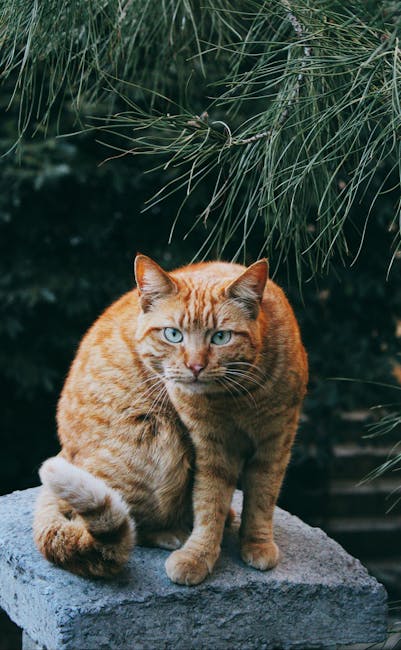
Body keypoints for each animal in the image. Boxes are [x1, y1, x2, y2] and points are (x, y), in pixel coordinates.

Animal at [34, 253, 308, 584]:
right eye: (173, 335)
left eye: (221, 337)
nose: (195, 366)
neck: (235, 397)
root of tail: (65, 451)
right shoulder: (211, 448)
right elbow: (209, 503)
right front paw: (198, 554)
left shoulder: (277, 440)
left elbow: (262, 499)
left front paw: (257, 543)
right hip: (160, 438)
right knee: (122, 522)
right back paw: (172, 533)